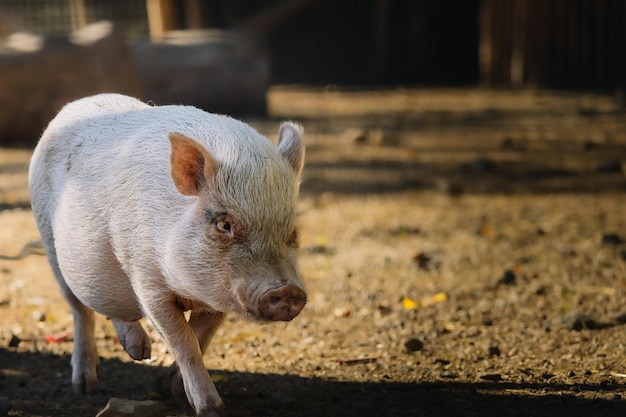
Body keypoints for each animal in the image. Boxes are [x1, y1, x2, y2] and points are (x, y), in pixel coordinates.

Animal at [28, 92, 306, 414]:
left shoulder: (216, 297)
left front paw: (170, 390)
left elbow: (200, 337)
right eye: (224, 224)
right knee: (80, 311)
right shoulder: (147, 280)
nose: (287, 291)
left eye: (292, 230)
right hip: (50, 245)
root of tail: (76, 104)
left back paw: (138, 352)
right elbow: (184, 342)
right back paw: (86, 386)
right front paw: (212, 409)